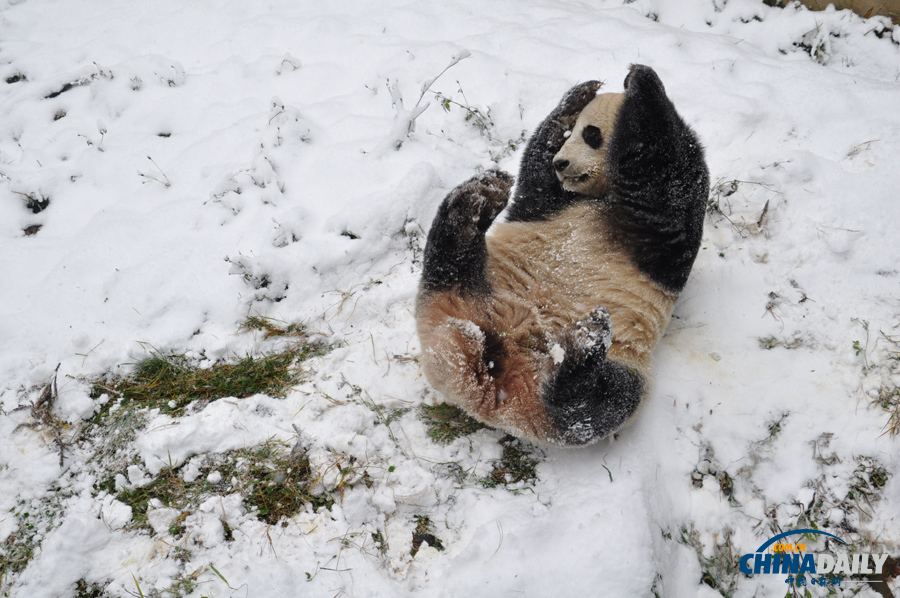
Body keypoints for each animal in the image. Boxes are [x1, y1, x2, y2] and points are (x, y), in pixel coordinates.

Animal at [415, 65, 709, 447]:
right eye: (575, 133)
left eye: (591, 134)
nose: (563, 162)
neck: (598, 197)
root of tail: (485, 379)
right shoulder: (549, 205)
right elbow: (537, 167)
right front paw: (579, 95)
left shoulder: (663, 230)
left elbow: (668, 175)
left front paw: (639, 82)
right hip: (477, 288)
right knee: (448, 261)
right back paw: (475, 200)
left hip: (627, 362)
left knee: (598, 404)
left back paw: (581, 347)